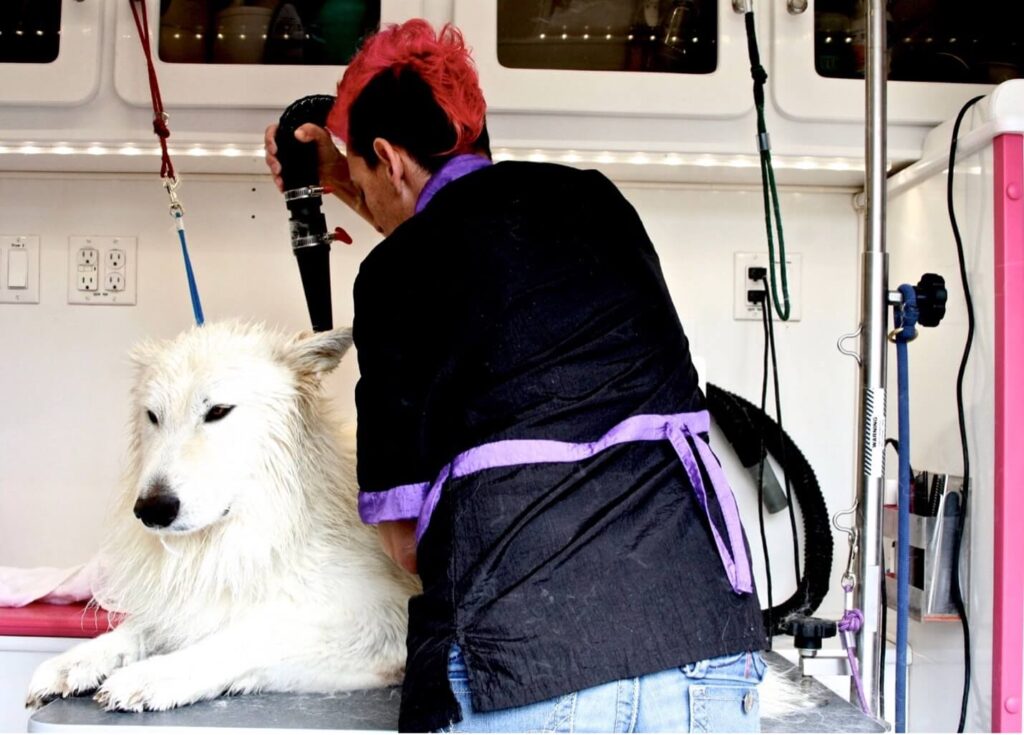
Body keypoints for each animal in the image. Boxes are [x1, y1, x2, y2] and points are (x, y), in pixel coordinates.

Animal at [27, 323, 419, 712]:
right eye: (153, 416)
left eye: (217, 411)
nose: (151, 510)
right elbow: (141, 627)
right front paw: (77, 661)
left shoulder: (382, 619)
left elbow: (244, 637)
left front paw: (152, 675)